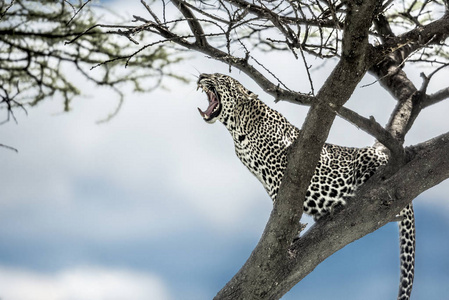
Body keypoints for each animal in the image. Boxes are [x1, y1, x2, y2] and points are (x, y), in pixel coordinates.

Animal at [197, 72, 416, 300]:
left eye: (219, 77)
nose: (202, 76)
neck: (237, 127)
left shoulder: (280, 166)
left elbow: (281, 196)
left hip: (368, 159)